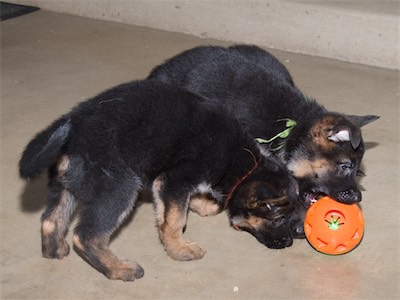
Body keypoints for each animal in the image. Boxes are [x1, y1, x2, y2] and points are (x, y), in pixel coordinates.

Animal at [19, 80, 296, 282]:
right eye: (277, 218)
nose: (290, 242)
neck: (242, 162)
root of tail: (73, 124)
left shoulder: (171, 185)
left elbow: (181, 206)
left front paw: (204, 205)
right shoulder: (174, 179)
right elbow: (175, 220)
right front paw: (180, 250)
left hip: (64, 185)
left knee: (51, 220)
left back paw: (54, 250)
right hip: (119, 188)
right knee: (85, 236)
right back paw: (119, 269)